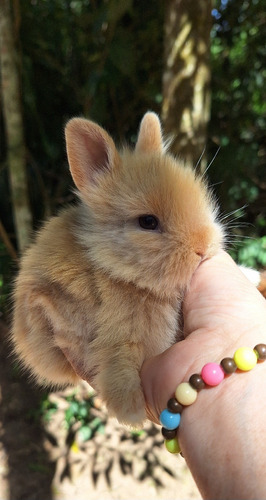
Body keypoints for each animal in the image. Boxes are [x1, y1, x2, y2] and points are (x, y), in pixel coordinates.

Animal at [11, 111, 224, 424]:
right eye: (147, 222)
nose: (203, 247)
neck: (118, 272)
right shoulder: (117, 340)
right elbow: (119, 367)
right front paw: (130, 411)